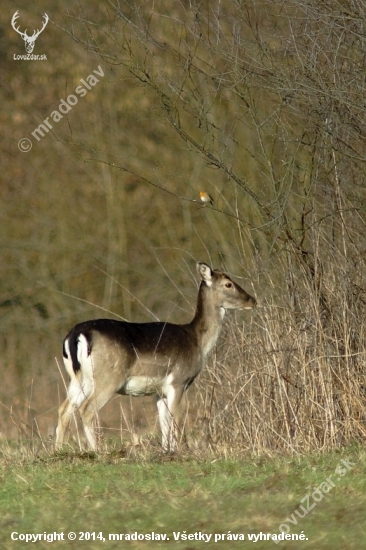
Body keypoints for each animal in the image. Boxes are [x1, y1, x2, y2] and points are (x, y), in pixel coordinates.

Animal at [55, 264, 256, 452]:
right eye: (228, 284)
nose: (252, 300)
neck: (197, 342)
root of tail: (76, 335)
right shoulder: (179, 381)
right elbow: (175, 419)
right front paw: (176, 451)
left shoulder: (159, 391)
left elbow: (164, 422)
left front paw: (166, 450)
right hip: (108, 378)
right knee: (86, 409)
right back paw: (96, 450)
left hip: (78, 379)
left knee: (64, 409)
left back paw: (57, 450)